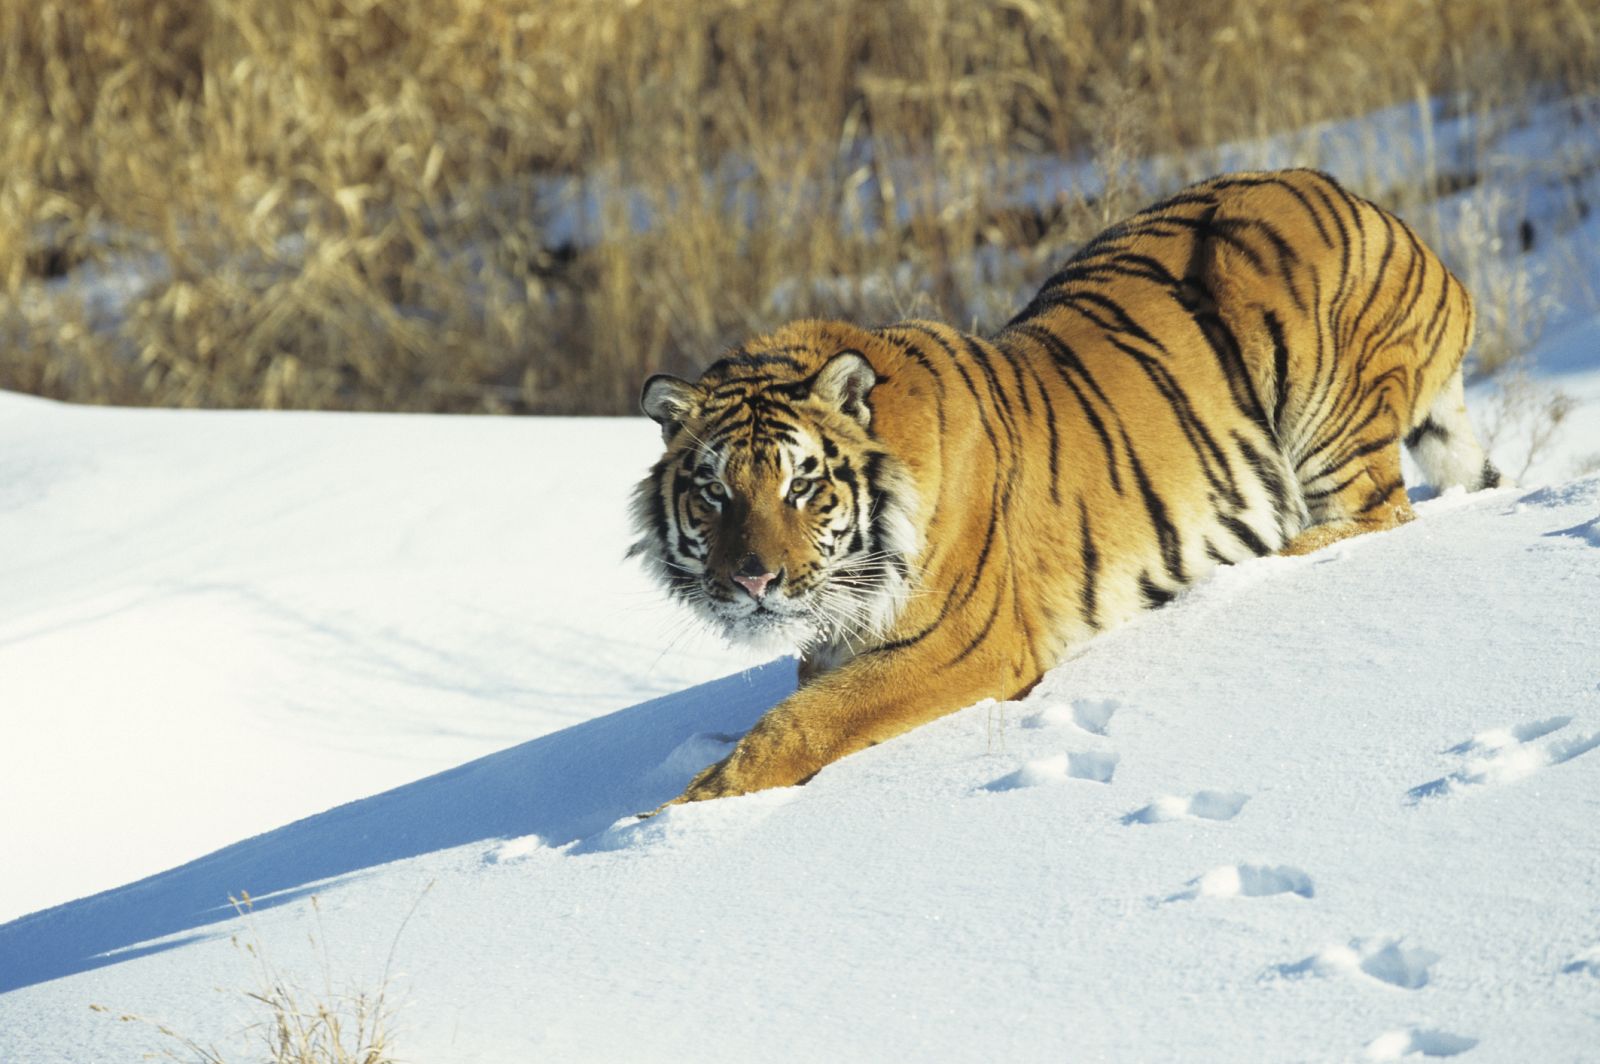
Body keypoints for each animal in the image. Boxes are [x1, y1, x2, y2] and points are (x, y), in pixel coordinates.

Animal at [630, 168, 1507, 807]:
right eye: (714, 492)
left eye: (801, 486)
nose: (754, 580)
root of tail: (1401, 227)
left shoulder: (964, 642)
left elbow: (802, 723)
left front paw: (671, 820)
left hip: (1314, 386)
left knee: (1379, 513)